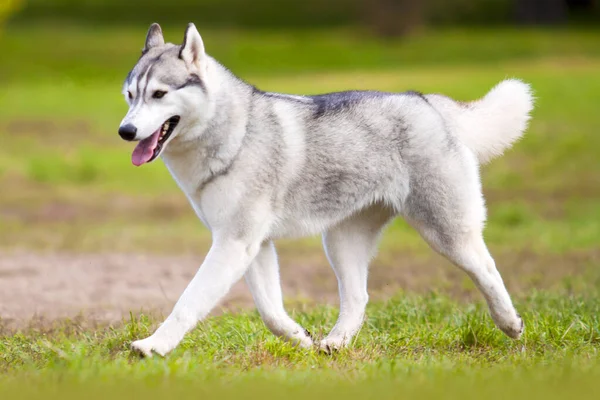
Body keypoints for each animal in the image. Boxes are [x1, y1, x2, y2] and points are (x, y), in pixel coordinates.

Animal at [119, 24, 532, 356]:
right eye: (130, 95)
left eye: (159, 94)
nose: (125, 131)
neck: (233, 133)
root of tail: (427, 101)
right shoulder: (251, 245)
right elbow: (270, 312)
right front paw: (300, 338)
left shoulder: (234, 243)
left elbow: (187, 302)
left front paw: (154, 346)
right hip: (341, 241)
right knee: (358, 296)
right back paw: (335, 342)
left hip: (446, 231)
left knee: (487, 268)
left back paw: (510, 322)